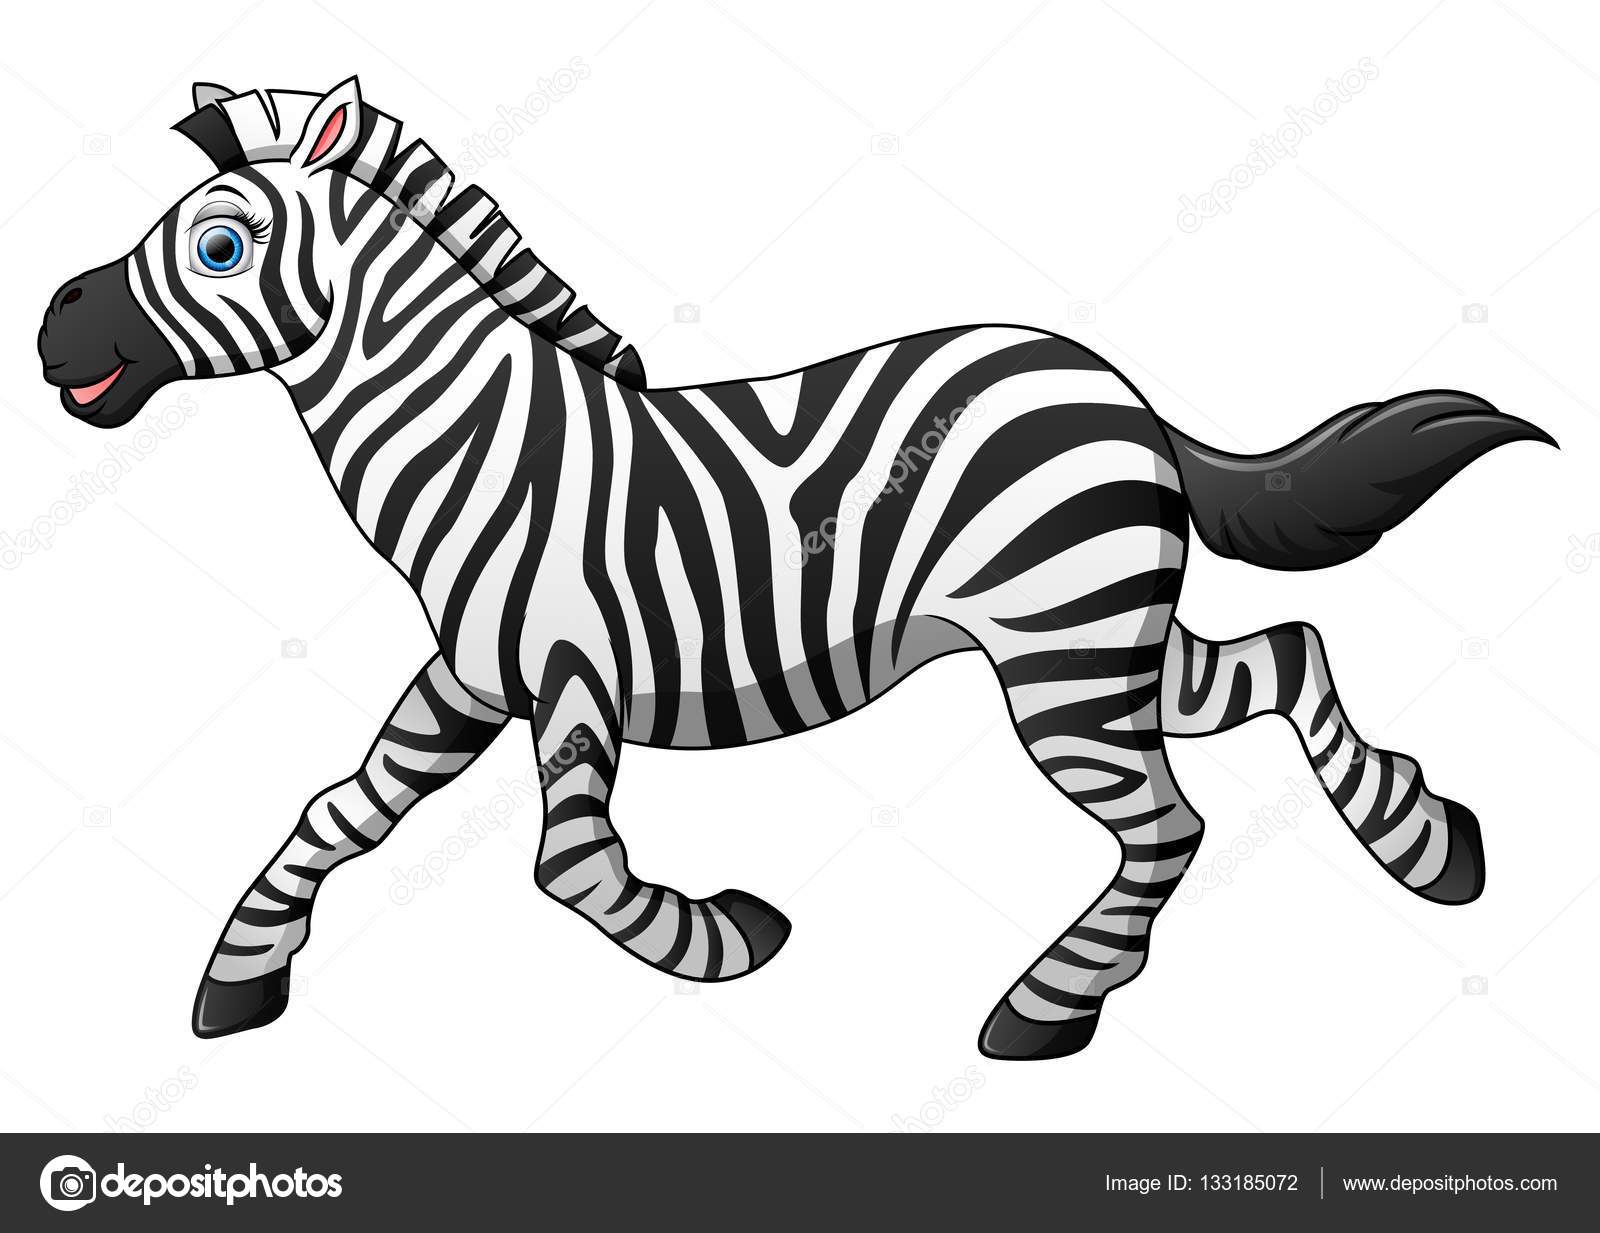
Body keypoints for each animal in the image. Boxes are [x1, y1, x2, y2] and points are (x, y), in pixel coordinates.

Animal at [37, 77, 1551, 1059]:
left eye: (219, 242)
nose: (52, 327)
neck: (483, 448)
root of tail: (1114, 386)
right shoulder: (466, 682)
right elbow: (338, 811)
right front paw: (237, 979)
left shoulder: (574, 677)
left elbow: (570, 867)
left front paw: (725, 940)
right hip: (1100, 637)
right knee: (1285, 658)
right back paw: (1432, 847)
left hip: (1062, 656)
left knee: (1167, 823)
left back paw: (1048, 1008)